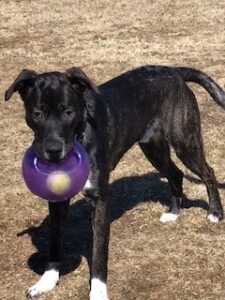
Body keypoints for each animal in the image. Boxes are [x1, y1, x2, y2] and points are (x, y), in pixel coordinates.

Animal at [4, 66, 225, 300]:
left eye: (68, 112)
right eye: (37, 114)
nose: (53, 150)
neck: (82, 133)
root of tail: (173, 71)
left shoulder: (100, 199)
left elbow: (99, 253)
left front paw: (98, 292)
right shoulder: (57, 202)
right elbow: (55, 242)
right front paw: (46, 281)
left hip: (184, 142)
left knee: (208, 173)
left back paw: (214, 212)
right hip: (153, 148)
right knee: (176, 174)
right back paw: (174, 212)